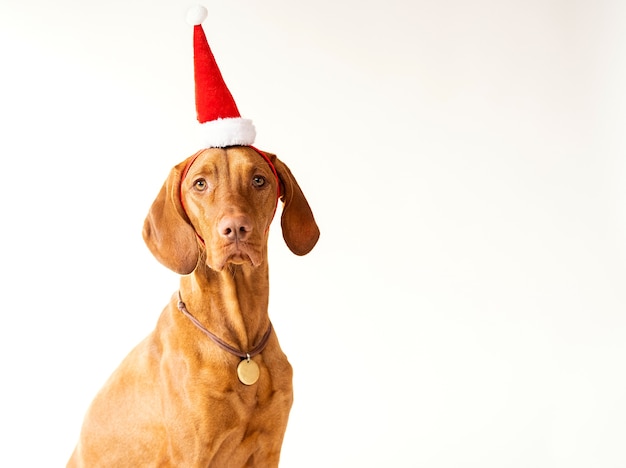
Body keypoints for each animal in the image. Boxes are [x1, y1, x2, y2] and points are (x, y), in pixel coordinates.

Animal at [69, 145, 320, 464]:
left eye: (259, 180)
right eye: (200, 184)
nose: (236, 227)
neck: (242, 345)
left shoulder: (269, 449)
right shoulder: (192, 456)